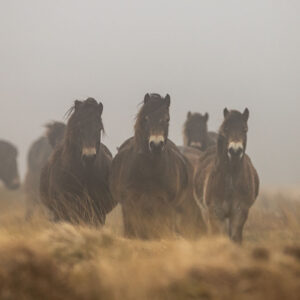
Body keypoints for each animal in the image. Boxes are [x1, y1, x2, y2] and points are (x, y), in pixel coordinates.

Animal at [109, 94, 203, 239]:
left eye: (167, 119)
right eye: (146, 118)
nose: (156, 145)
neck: (149, 171)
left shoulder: (164, 206)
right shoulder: (130, 205)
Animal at [193, 108, 258, 244]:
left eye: (244, 129)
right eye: (226, 129)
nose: (235, 151)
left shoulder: (239, 213)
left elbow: (235, 238)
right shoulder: (215, 214)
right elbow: (218, 236)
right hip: (205, 213)